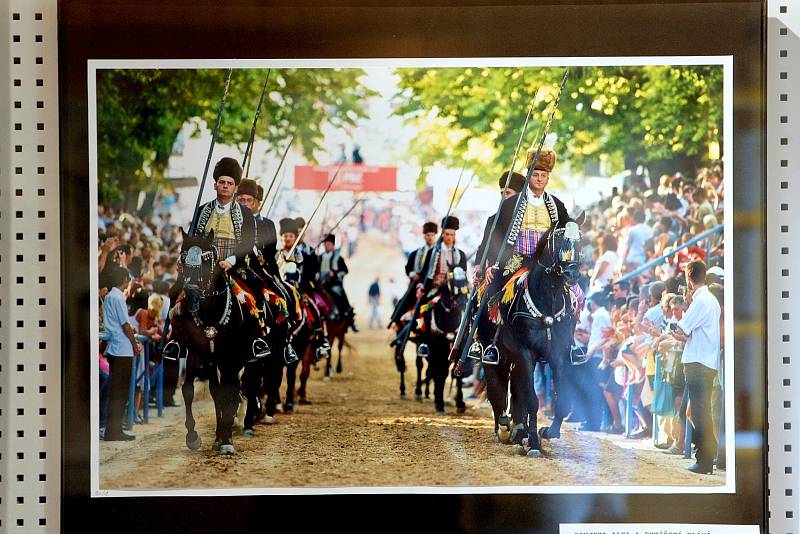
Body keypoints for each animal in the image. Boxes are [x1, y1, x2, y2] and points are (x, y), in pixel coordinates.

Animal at [170, 228, 260, 454]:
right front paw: (193, 436)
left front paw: (227, 439)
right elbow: (189, 390)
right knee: (220, 390)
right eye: (183, 258)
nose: (192, 296)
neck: (210, 312)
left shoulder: (231, 358)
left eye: (206, 259)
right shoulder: (198, 355)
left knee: (245, 385)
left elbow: (230, 392)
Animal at [494, 222, 580, 460]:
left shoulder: (558, 356)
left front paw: (548, 432)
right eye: (557, 241)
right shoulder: (525, 353)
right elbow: (532, 399)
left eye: (579, 241)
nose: (571, 273)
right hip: (505, 355)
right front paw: (533, 442)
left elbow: (561, 399)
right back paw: (510, 430)